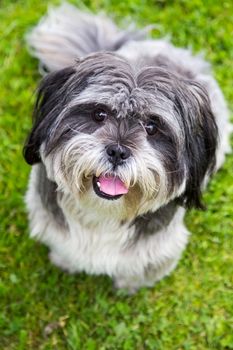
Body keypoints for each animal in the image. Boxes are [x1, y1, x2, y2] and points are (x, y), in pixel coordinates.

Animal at [23, 4, 231, 292]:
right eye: (99, 114)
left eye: (152, 127)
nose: (118, 152)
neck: (104, 213)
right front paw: (65, 263)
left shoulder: (159, 248)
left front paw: (128, 286)